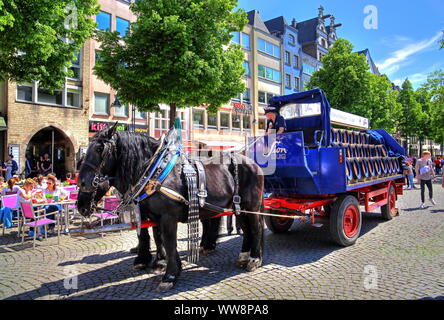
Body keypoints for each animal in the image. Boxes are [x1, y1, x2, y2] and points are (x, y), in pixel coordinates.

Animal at [77, 126, 264, 292]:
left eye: (99, 148)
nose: (82, 183)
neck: (153, 173)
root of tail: (252, 163)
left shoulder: (167, 217)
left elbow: (168, 241)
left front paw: (169, 275)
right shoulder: (151, 216)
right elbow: (155, 238)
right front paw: (158, 262)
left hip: (252, 206)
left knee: (255, 228)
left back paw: (254, 258)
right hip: (238, 207)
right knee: (246, 229)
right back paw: (243, 255)